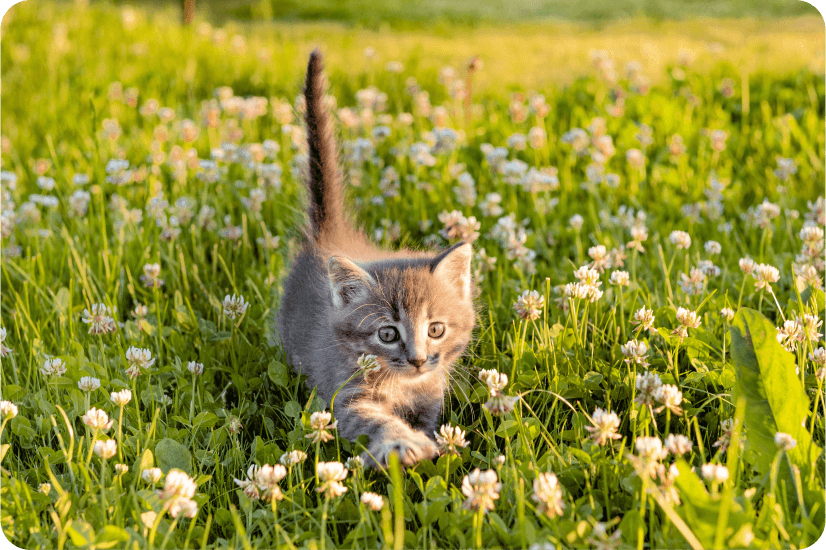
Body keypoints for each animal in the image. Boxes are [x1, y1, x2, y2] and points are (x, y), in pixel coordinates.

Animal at [274, 50, 474, 466]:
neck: (404, 385)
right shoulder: (345, 396)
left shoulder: (431, 399)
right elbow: (375, 421)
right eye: (387, 334)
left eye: (436, 329)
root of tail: (329, 235)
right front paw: (404, 444)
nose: (418, 360)